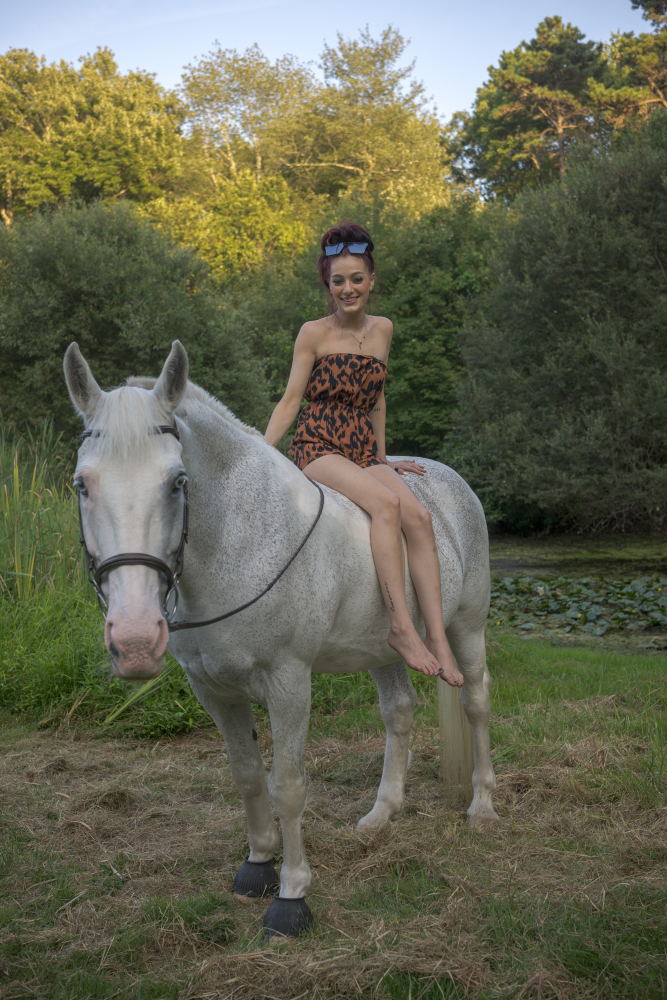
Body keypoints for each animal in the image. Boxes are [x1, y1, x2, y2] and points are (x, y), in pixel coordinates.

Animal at [63, 340, 499, 937]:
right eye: (82, 484)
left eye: (177, 481)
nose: (134, 640)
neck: (236, 541)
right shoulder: (212, 690)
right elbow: (247, 776)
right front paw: (257, 865)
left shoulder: (289, 682)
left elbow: (287, 785)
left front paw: (292, 896)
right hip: (386, 643)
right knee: (400, 711)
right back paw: (381, 815)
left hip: (467, 627)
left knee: (476, 702)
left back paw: (482, 807)